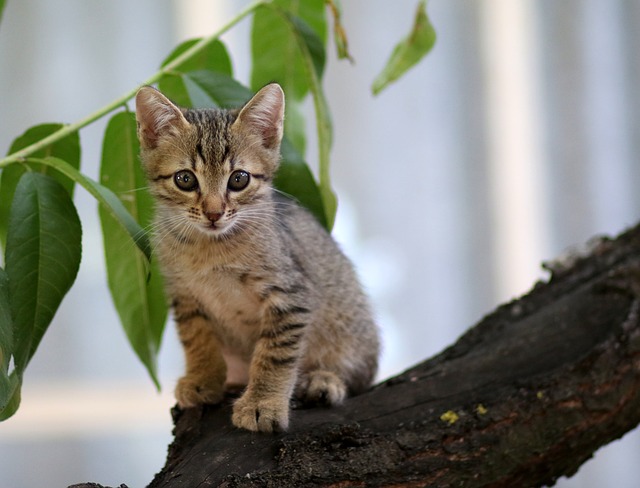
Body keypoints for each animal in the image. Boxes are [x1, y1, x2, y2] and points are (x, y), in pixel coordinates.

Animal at [133, 85, 378, 434]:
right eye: (185, 179)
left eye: (239, 179)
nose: (213, 213)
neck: (210, 248)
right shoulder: (183, 293)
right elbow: (197, 338)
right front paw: (203, 378)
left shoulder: (290, 294)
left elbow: (274, 354)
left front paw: (262, 403)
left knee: (359, 376)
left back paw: (323, 380)